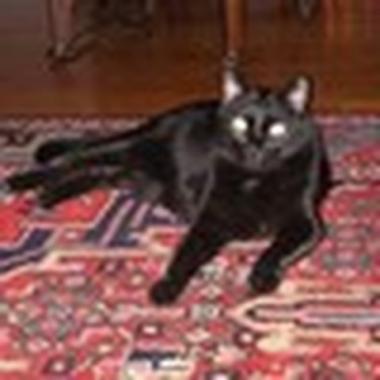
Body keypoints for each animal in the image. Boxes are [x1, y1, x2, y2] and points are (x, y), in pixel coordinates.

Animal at [2, 68, 332, 306]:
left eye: (278, 129)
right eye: (239, 124)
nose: (255, 147)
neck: (256, 177)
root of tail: (162, 118)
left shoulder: (307, 223)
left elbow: (278, 248)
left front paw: (262, 276)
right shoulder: (210, 220)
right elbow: (186, 253)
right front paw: (166, 287)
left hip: (138, 175)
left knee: (98, 173)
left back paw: (49, 195)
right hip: (132, 146)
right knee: (75, 158)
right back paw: (19, 182)